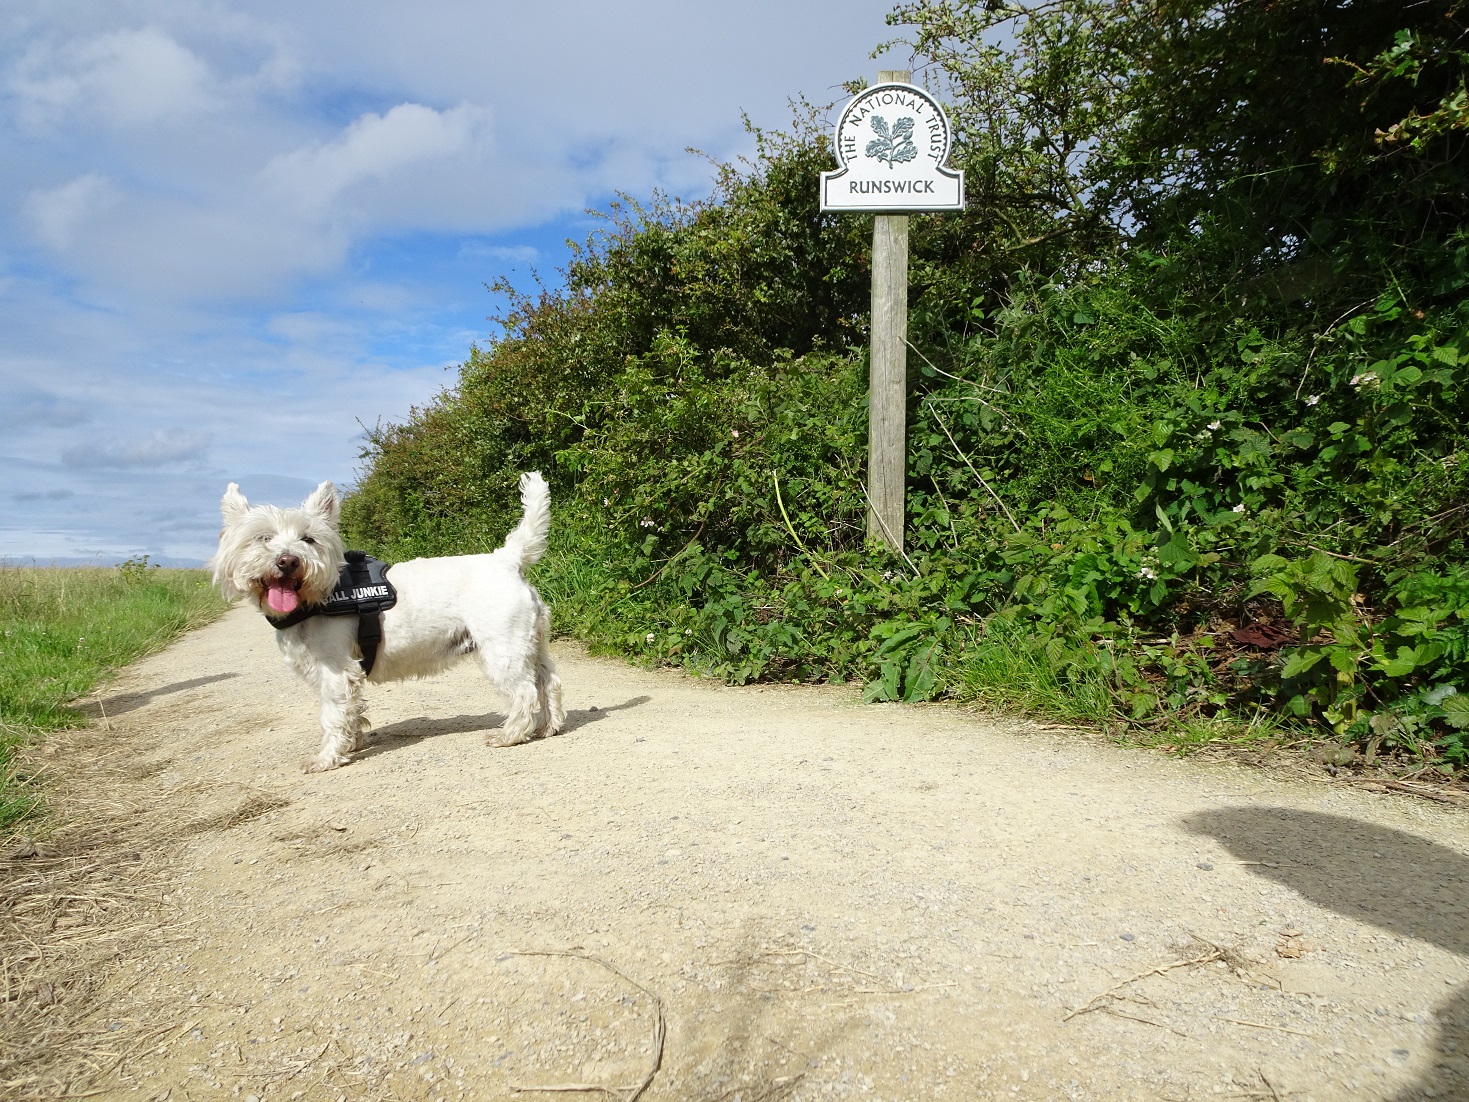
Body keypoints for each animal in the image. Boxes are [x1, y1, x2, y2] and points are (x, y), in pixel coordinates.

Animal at [210, 470, 564, 769]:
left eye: (308, 539)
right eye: (262, 538)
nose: (288, 561)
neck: (317, 596)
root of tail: (506, 559)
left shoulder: (335, 671)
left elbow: (332, 715)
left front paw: (326, 758)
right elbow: (352, 711)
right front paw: (351, 743)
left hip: (502, 649)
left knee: (524, 691)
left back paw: (511, 734)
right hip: (531, 643)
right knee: (548, 682)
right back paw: (548, 726)